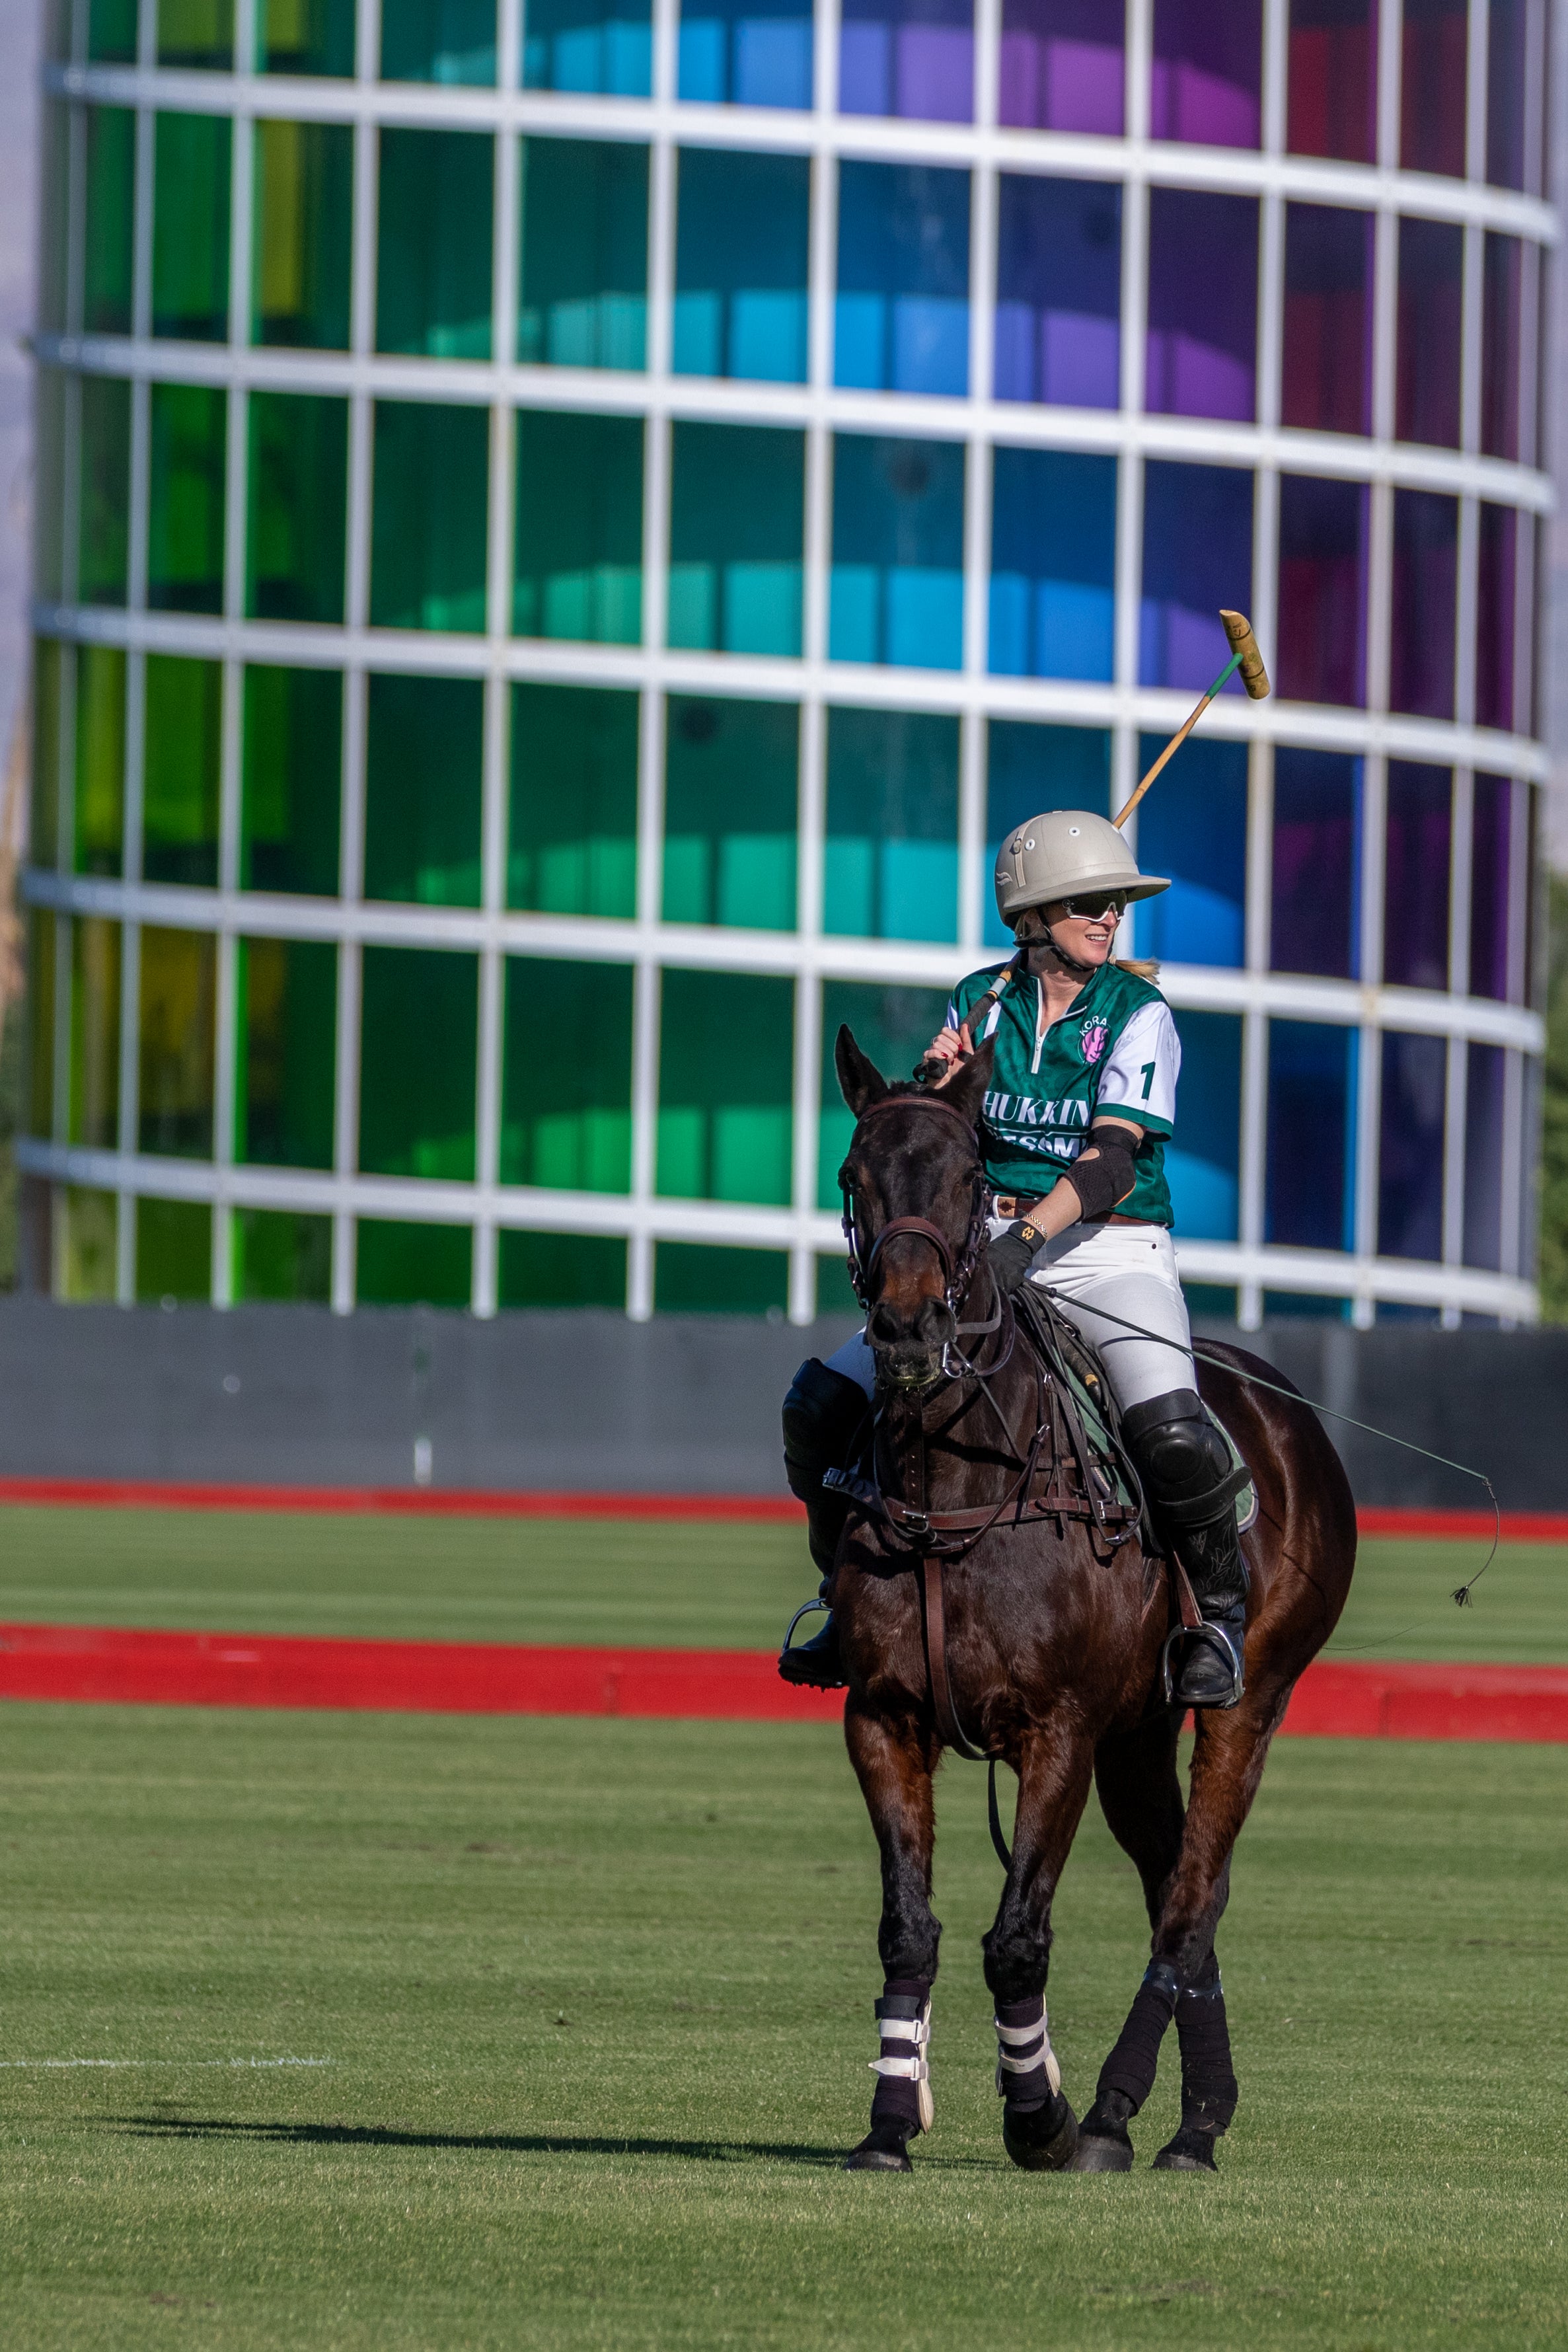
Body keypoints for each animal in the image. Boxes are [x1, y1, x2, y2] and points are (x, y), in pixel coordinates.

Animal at [825, 1027, 1358, 2174]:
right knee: (1176, 1880)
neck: (959, 1477)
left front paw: (1040, 2115)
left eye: (971, 1174)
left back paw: (1128, 2114)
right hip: (1136, 1734)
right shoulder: (881, 1715)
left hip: (1250, 1698)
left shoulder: (1056, 1726)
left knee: (1193, 1896)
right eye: (852, 1175)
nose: (906, 1332)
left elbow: (1018, 1937)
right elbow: (908, 1926)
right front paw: (890, 2118)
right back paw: (1191, 2113)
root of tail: (1290, 1412)